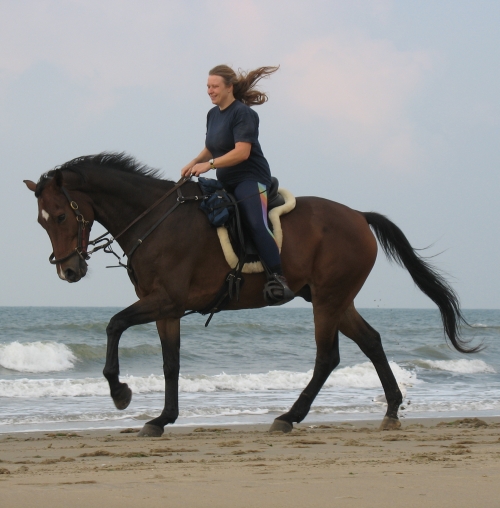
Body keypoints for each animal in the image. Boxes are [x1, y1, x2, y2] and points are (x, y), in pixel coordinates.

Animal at [24, 154, 476, 436]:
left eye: (61, 215)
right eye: (41, 222)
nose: (68, 270)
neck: (155, 221)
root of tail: (359, 216)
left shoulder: (166, 301)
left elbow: (114, 323)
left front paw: (120, 393)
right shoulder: (165, 309)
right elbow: (170, 364)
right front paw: (162, 418)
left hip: (328, 300)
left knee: (328, 357)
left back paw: (289, 416)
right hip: (334, 299)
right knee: (372, 342)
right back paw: (391, 410)